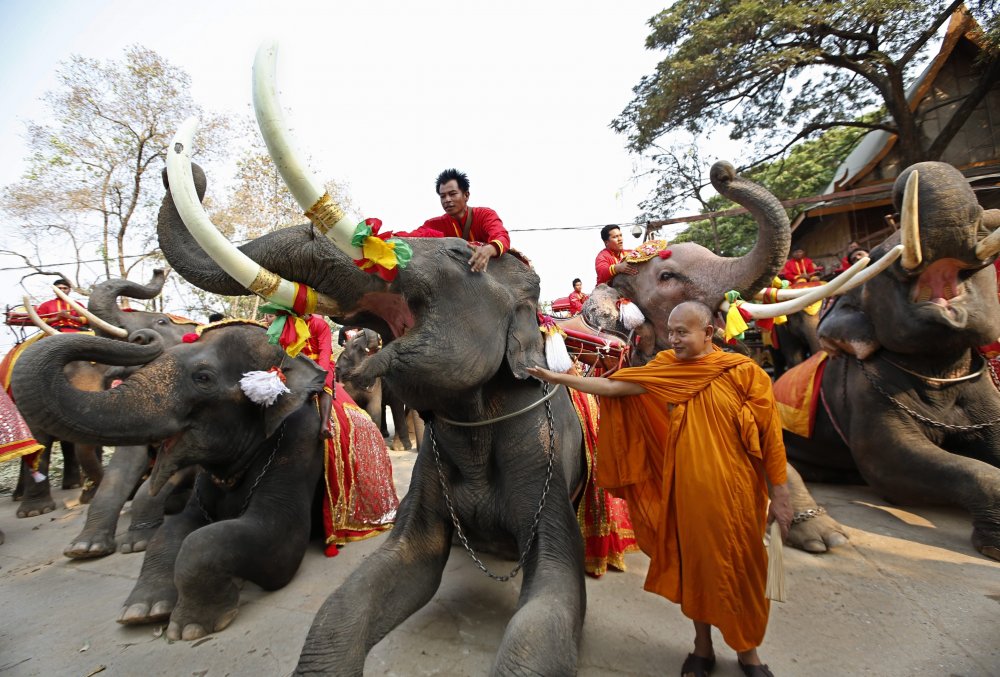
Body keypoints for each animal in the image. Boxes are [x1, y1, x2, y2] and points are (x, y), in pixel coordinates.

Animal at [10, 322, 331, 639]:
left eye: (203, 378)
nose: (141, 336)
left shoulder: (299, 441)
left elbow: (265, 540)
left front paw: (189, 626)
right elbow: (172, 528)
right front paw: (143, 610)